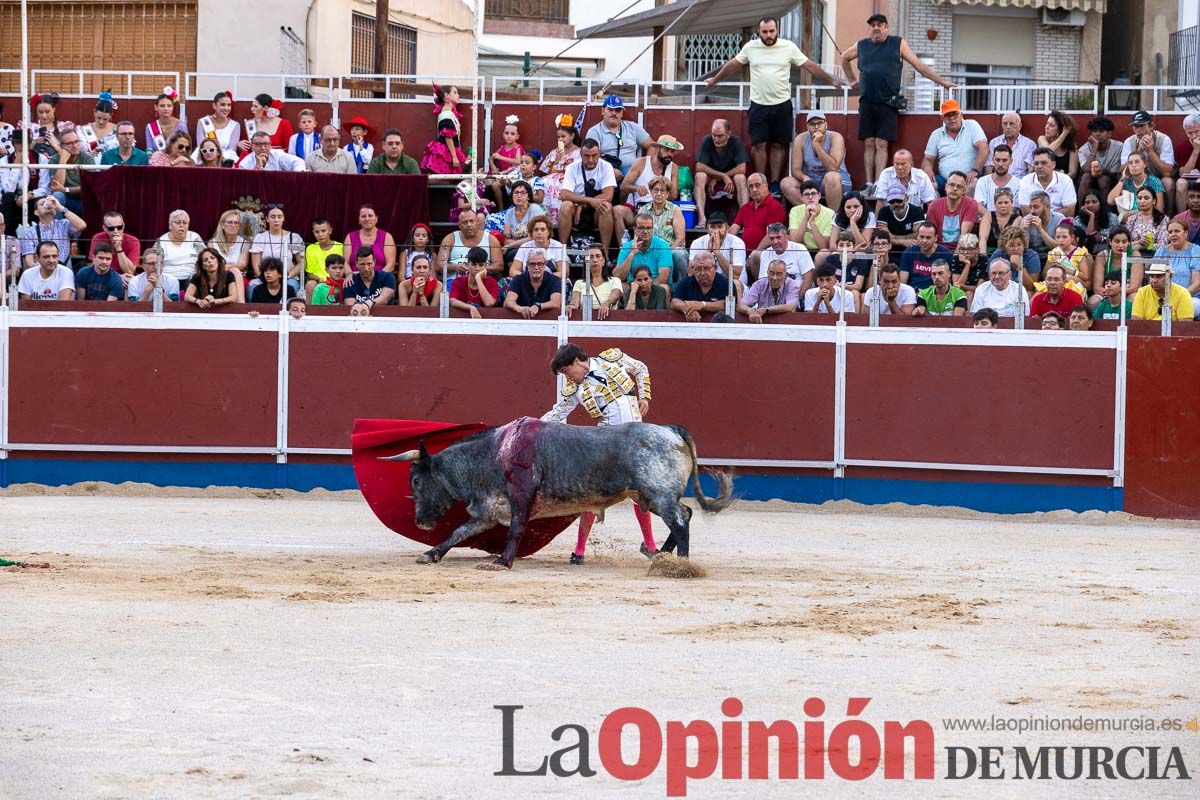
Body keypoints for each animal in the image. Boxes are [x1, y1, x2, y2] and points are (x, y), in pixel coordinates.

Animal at [388, 419, 734, 568]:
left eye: (416, 481)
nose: (420, 522)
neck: (493, 453)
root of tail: (671, 430)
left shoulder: (521, 498)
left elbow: (515, 530)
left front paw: (502, 561)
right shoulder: (487, 510)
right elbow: (459, 532)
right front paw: (431, 553)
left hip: (658, 493)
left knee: (680, 521)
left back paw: (681, 566)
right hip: (652, 495)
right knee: (685, 514)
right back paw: (662, 555)